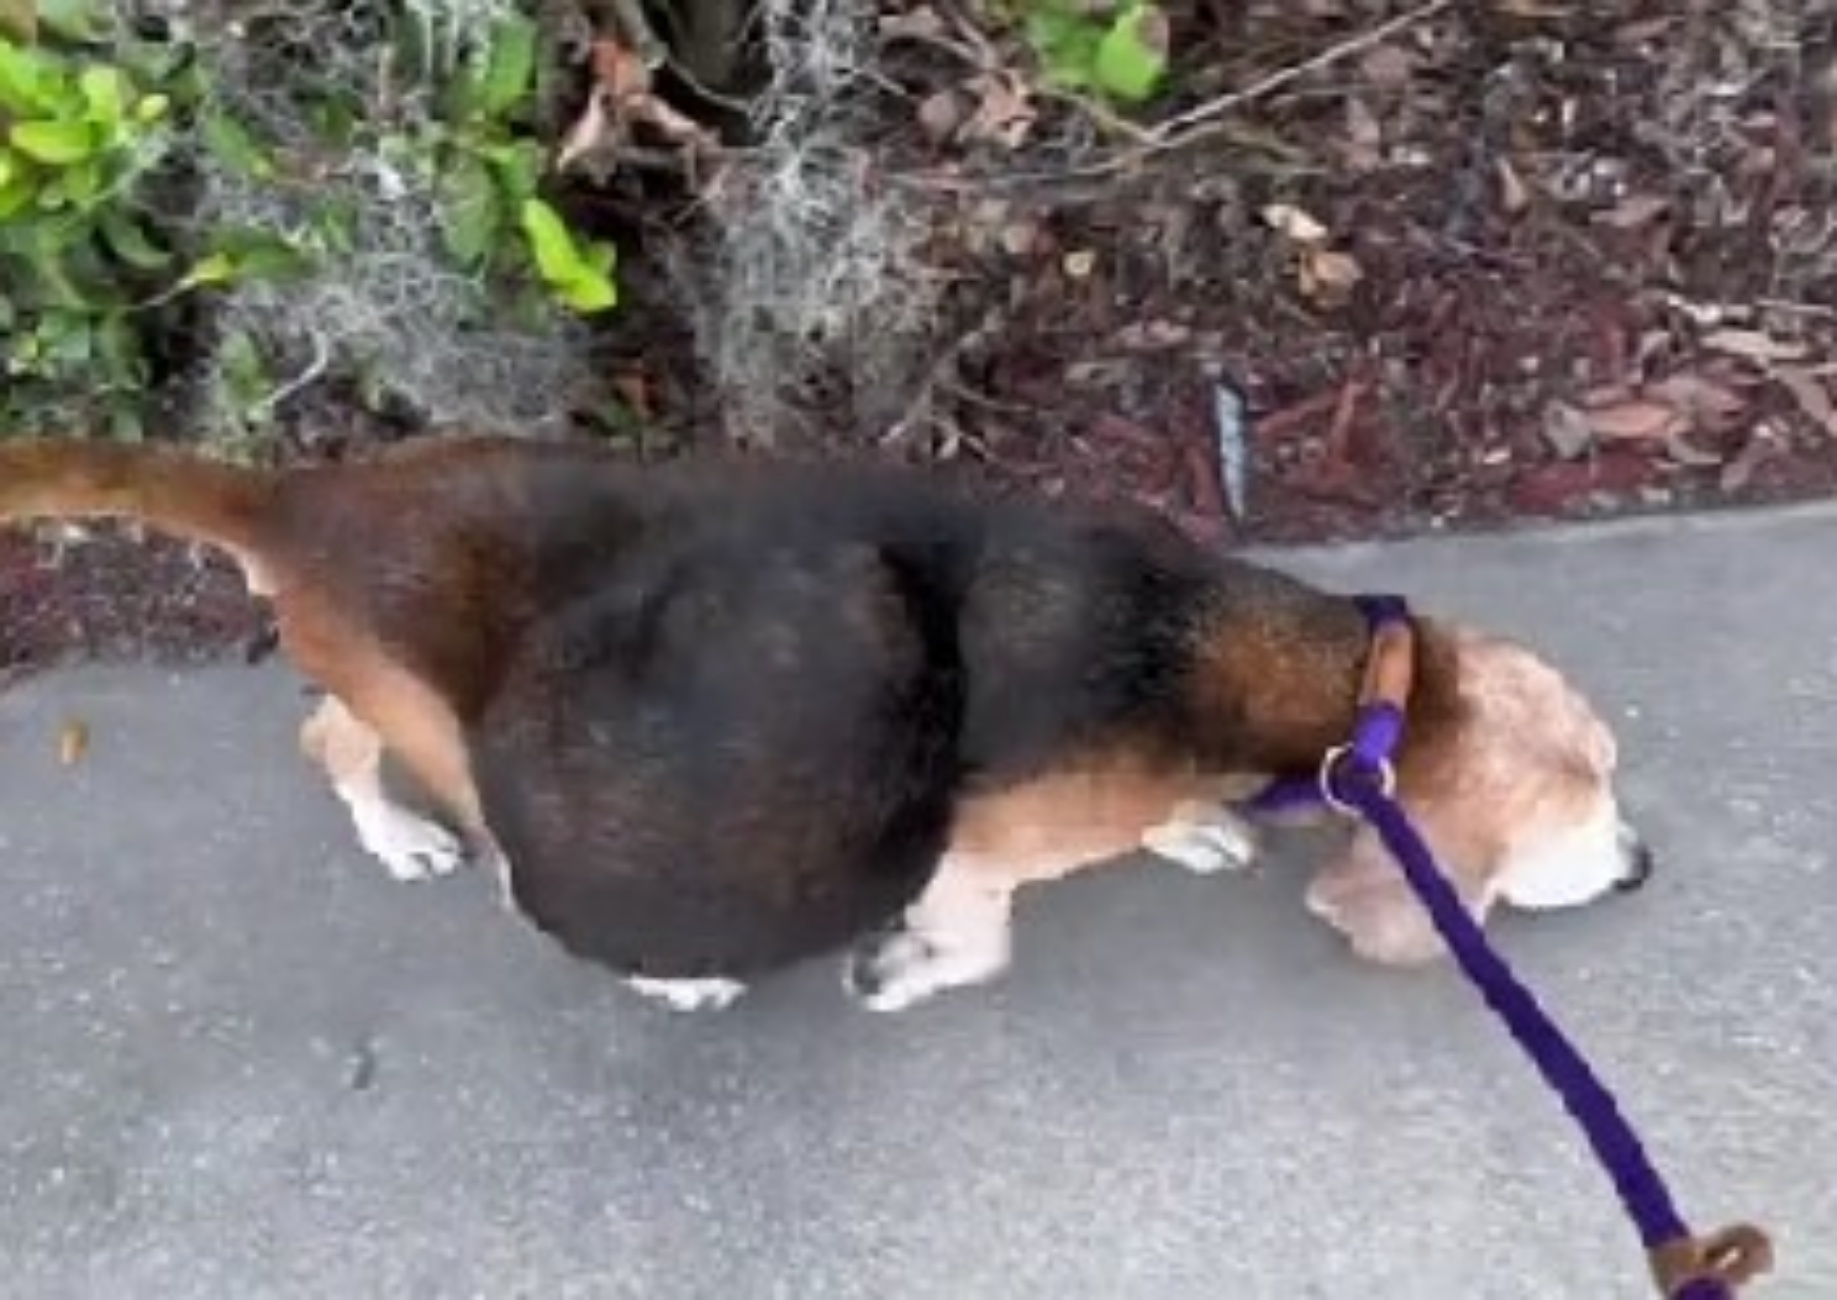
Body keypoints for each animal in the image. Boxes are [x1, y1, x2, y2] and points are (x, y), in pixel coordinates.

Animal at [0, 437, 1653, 1013]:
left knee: (324, 741)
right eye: (1587, 804)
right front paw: (903, 974)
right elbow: (973, 945)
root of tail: (302, 500)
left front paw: (1190, 835)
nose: (1646, 870)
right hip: (469, 744)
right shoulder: (970, 856)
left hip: (379, 681)